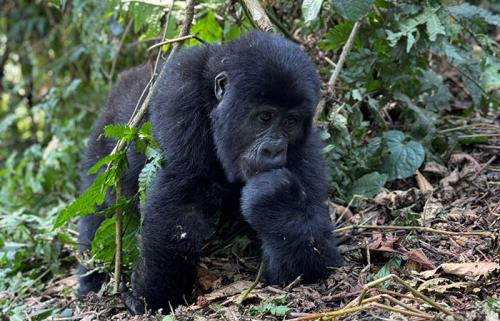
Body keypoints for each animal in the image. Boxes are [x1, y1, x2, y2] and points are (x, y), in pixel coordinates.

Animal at [79, 31, 344, 312]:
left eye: (291, 121)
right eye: (265, 117)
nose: (274, 150)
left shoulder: (307, 148)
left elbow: (314, 264)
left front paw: (275, 198)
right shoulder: (181, 98)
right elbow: (179, 209)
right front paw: (153, 298)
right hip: (104, 141)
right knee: (98, 212)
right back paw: (91, 281)